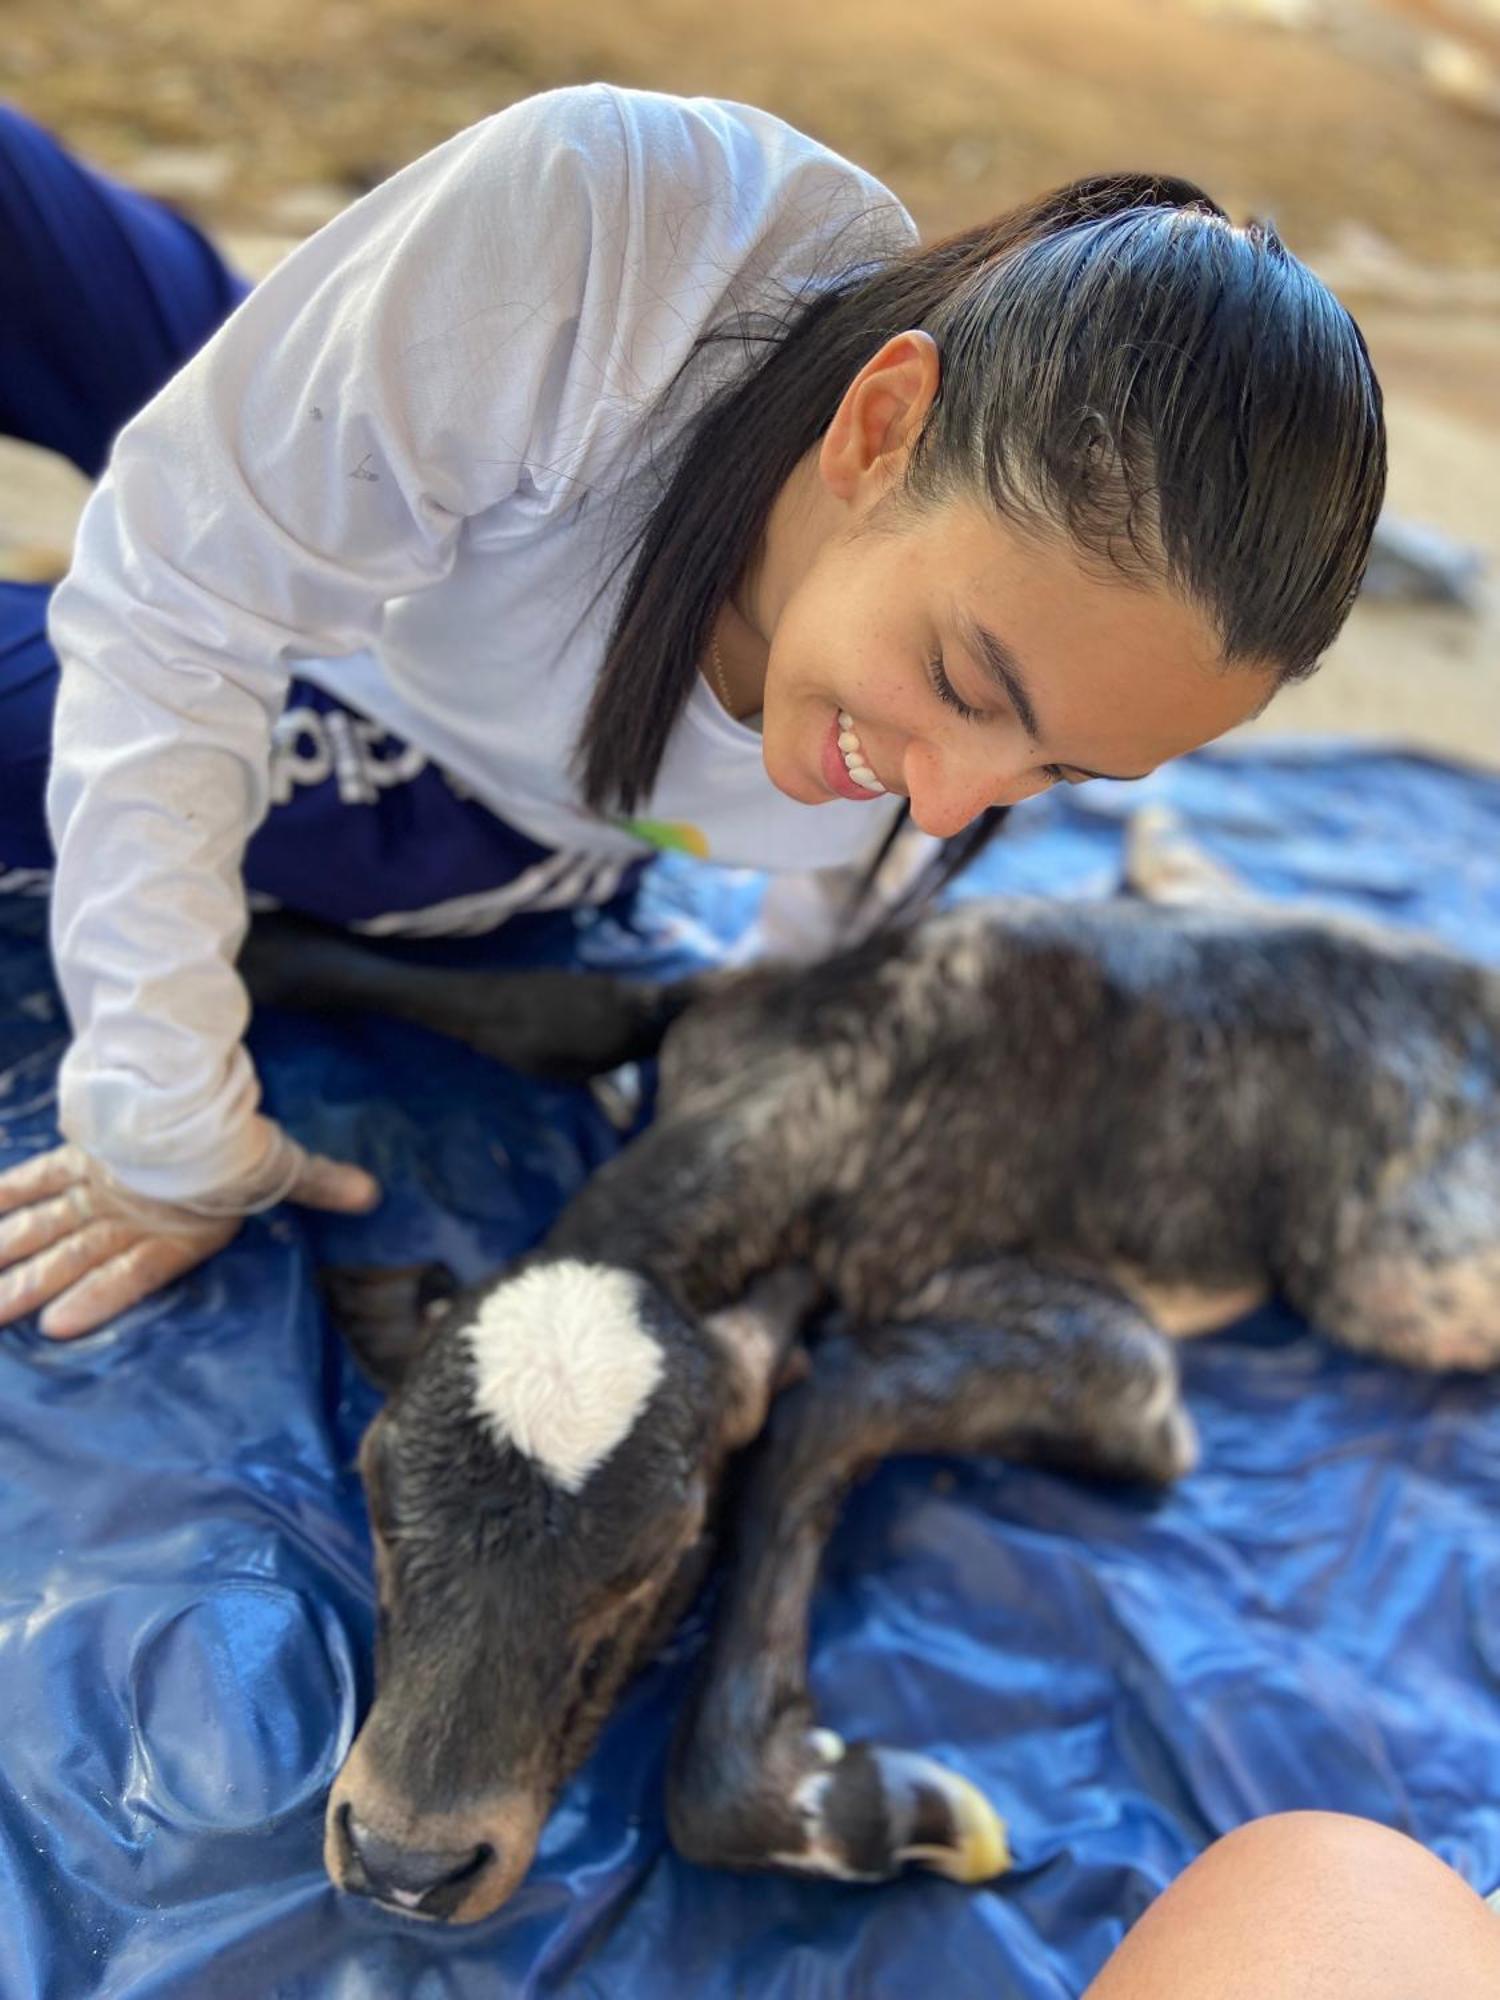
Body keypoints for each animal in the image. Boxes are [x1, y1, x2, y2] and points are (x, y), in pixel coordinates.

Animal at [244, 896, 1500, 1920]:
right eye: (370, 1485)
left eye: (658, 1555)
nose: (407, 1860)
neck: (844, 1075)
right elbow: (573, 1009)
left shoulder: (1114, 1360)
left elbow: (834, 1391)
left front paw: (850, 1807)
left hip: (1399, 1267)